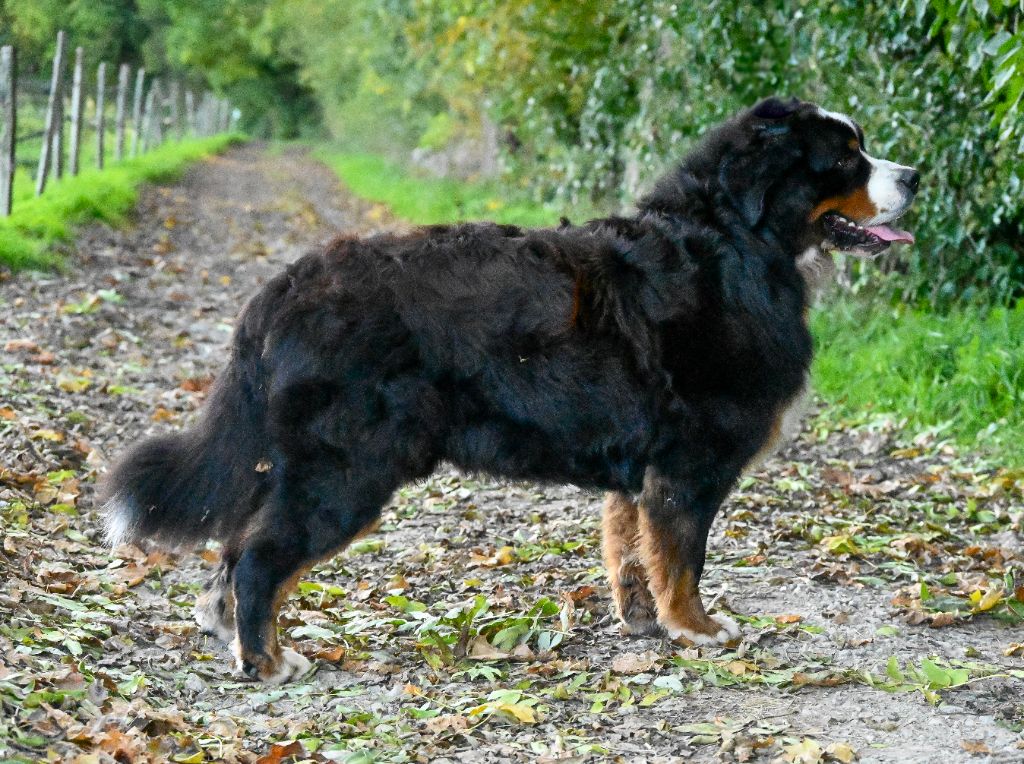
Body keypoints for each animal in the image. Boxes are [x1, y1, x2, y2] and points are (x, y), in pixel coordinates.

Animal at [102, 97, 919, 684]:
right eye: (844, 157)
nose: (914, 176)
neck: (734, 245)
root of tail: (286, 285)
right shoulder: (691, 466)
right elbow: (682, 557)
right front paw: (697, 627)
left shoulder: (643, 469)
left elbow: (633, 550)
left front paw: (643, 622)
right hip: (347, 470)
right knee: (261, 556)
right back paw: (264, 659)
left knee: (237, 550)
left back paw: (238, 639)